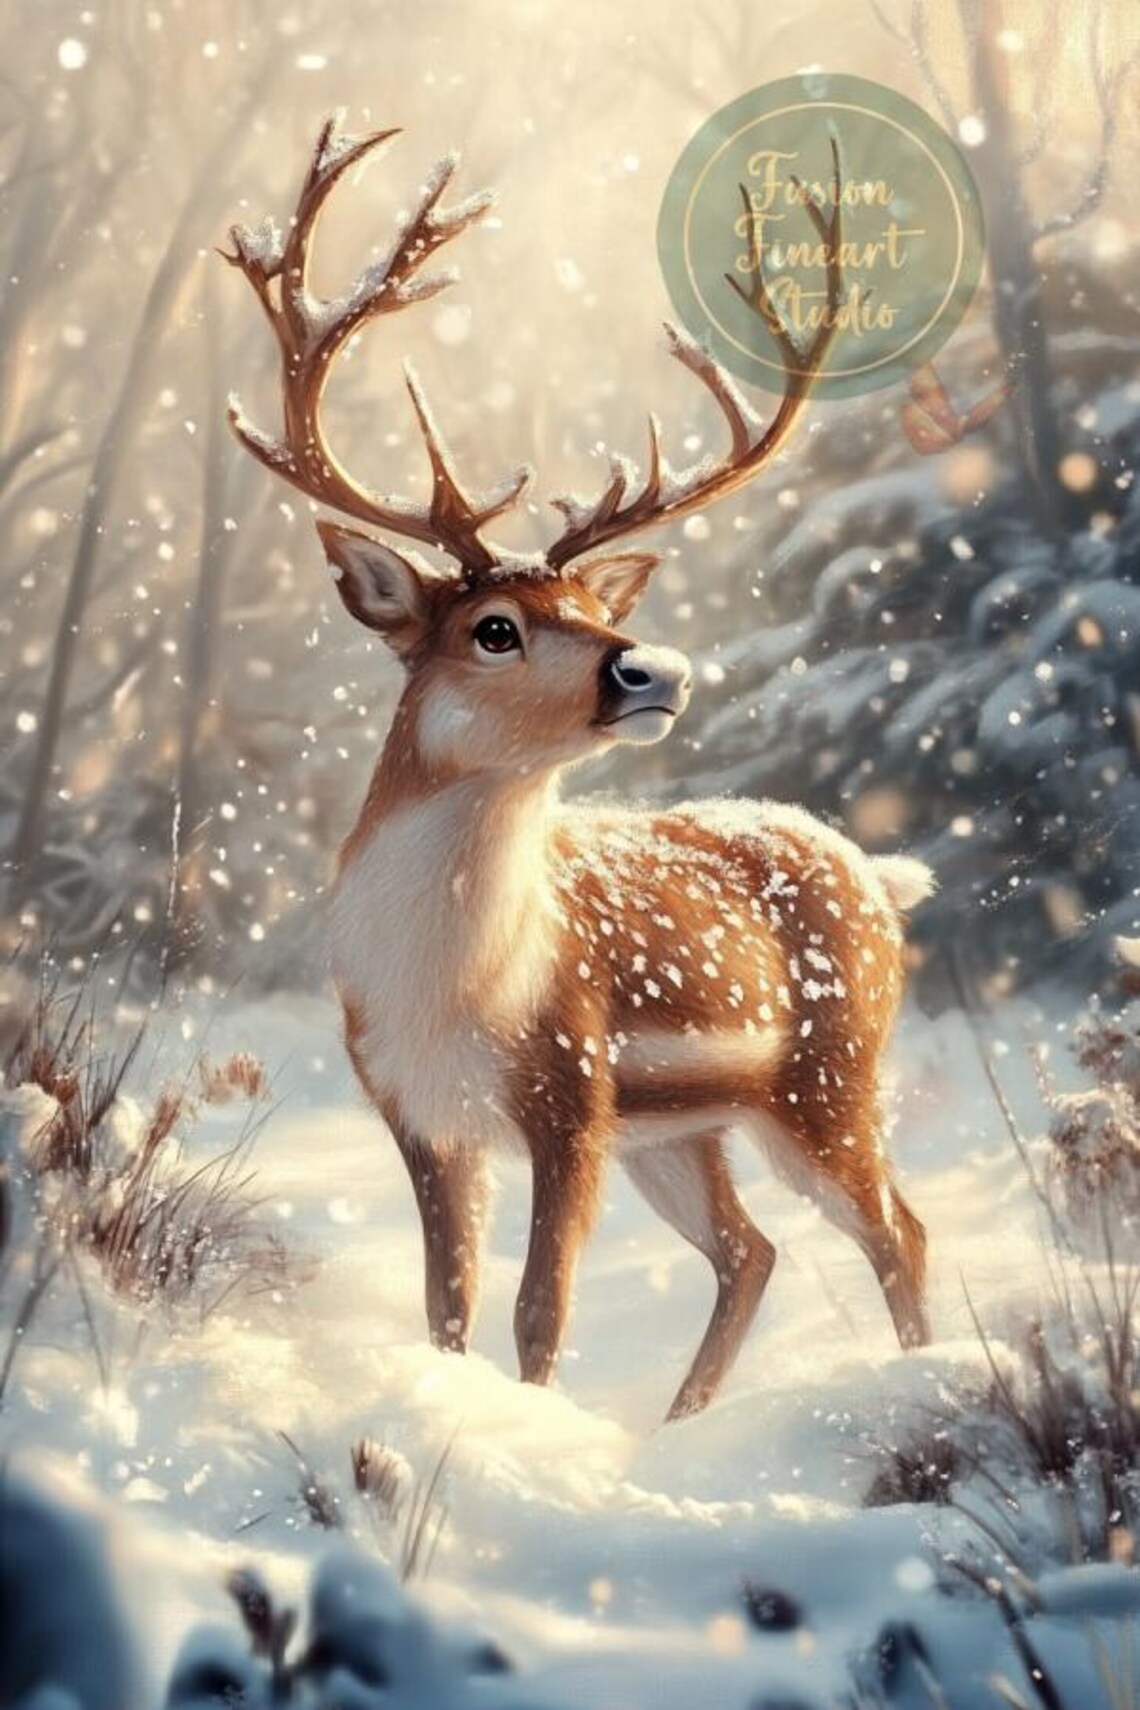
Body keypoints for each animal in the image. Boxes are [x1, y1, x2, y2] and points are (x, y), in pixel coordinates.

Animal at [224, 117, 933, 1422]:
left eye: (590, 610)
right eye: (493, 627)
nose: (653, 668)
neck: (451, 989)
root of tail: (881, 874)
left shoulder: (573, 1089)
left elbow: (537, 1313)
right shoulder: (417, 1109)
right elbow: (448, 1311)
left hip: (825, 1076)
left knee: (893, 1231)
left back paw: (907, 1378)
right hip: (688, 1129)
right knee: (752, 1250)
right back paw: (679, 1425)